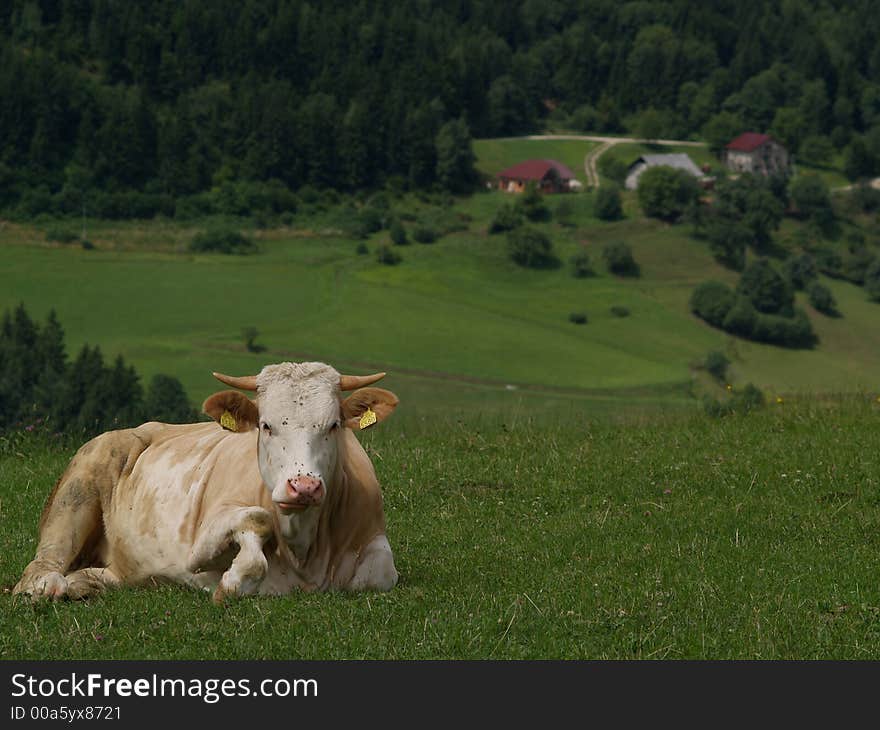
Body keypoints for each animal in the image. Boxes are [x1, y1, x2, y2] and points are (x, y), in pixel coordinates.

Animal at [14, 360, 398, 604]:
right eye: (266, 425)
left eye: (333, 425)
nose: (303, 486)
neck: (305, 551)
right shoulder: (205, 532)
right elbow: (255, 521)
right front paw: (232, 577)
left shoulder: (375, 543)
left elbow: (379, 576)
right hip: (78, 488)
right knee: (41, 565)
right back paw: (50, 587)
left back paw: (84, 585)